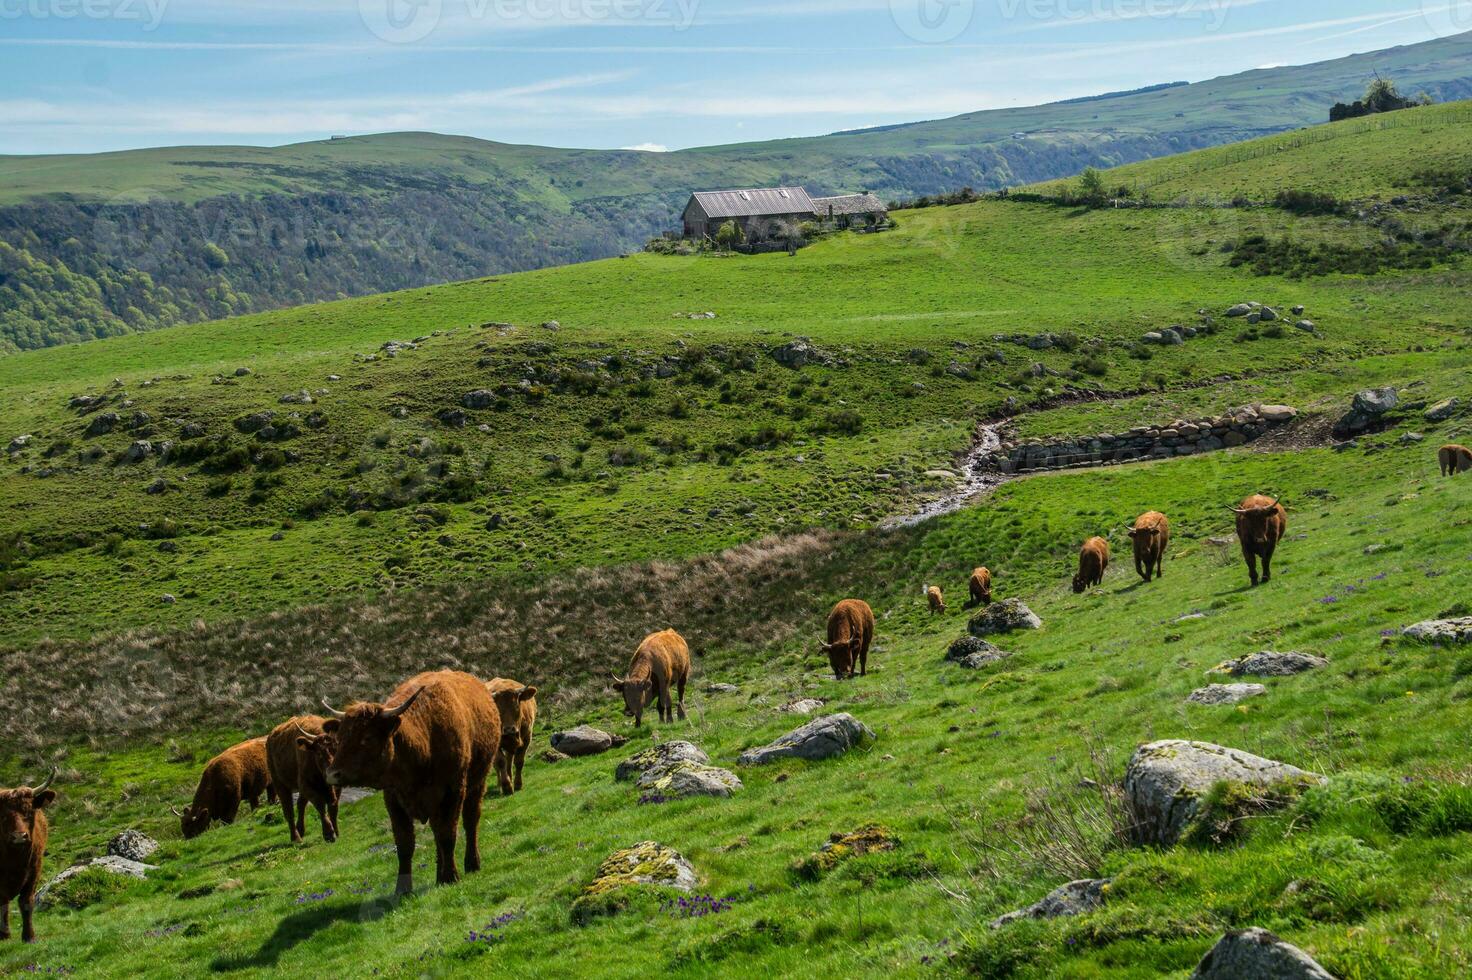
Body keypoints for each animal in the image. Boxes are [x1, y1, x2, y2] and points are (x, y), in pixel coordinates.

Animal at [0, 765, 55, 941]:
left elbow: (26, 902)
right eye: (3, 816)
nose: (19, 836)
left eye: (29, 811)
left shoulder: (35, 870)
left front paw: (29, 937)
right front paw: (5, 935)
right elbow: (3, 903)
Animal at [319, 670, 497, 894]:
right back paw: (439, 875)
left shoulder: (453, 792)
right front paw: (403, 889)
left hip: (477, 784)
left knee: (470, 821)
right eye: (340, 737)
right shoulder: (394, 799)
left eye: (367, 737)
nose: (332, 774)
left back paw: (471, 864)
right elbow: (405, 845)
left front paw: (451, 876)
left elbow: (448, 835)